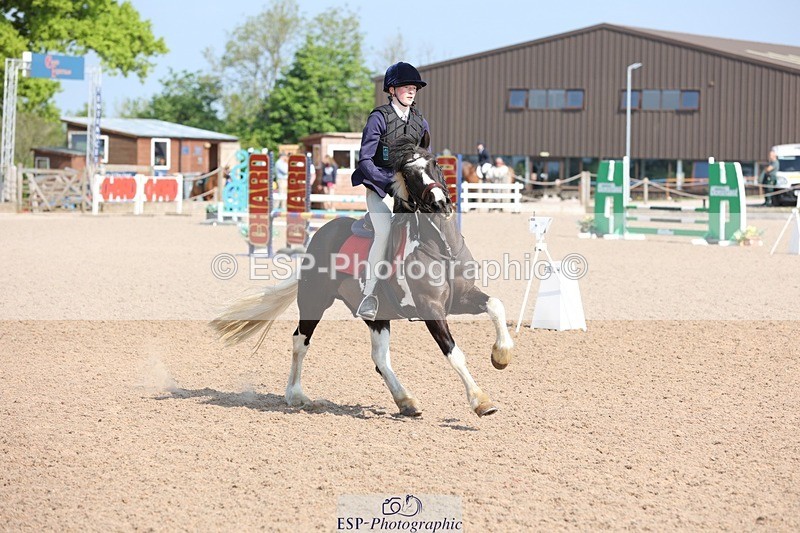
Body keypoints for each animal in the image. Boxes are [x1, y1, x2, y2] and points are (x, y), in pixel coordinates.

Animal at [212, 138, 514, 418]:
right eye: (409, 174)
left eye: (435, 164)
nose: (439, 203)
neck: (442, 247)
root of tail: (320, 235)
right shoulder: (431, 308)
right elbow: (454, 353)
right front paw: (480, 401)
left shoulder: (462, 297)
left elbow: (496, 305)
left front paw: (501, 355)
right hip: (314, 301)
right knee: (300, 341)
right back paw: (296, 395)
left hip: (377, 314)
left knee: (379, 357)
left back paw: (406, 401)